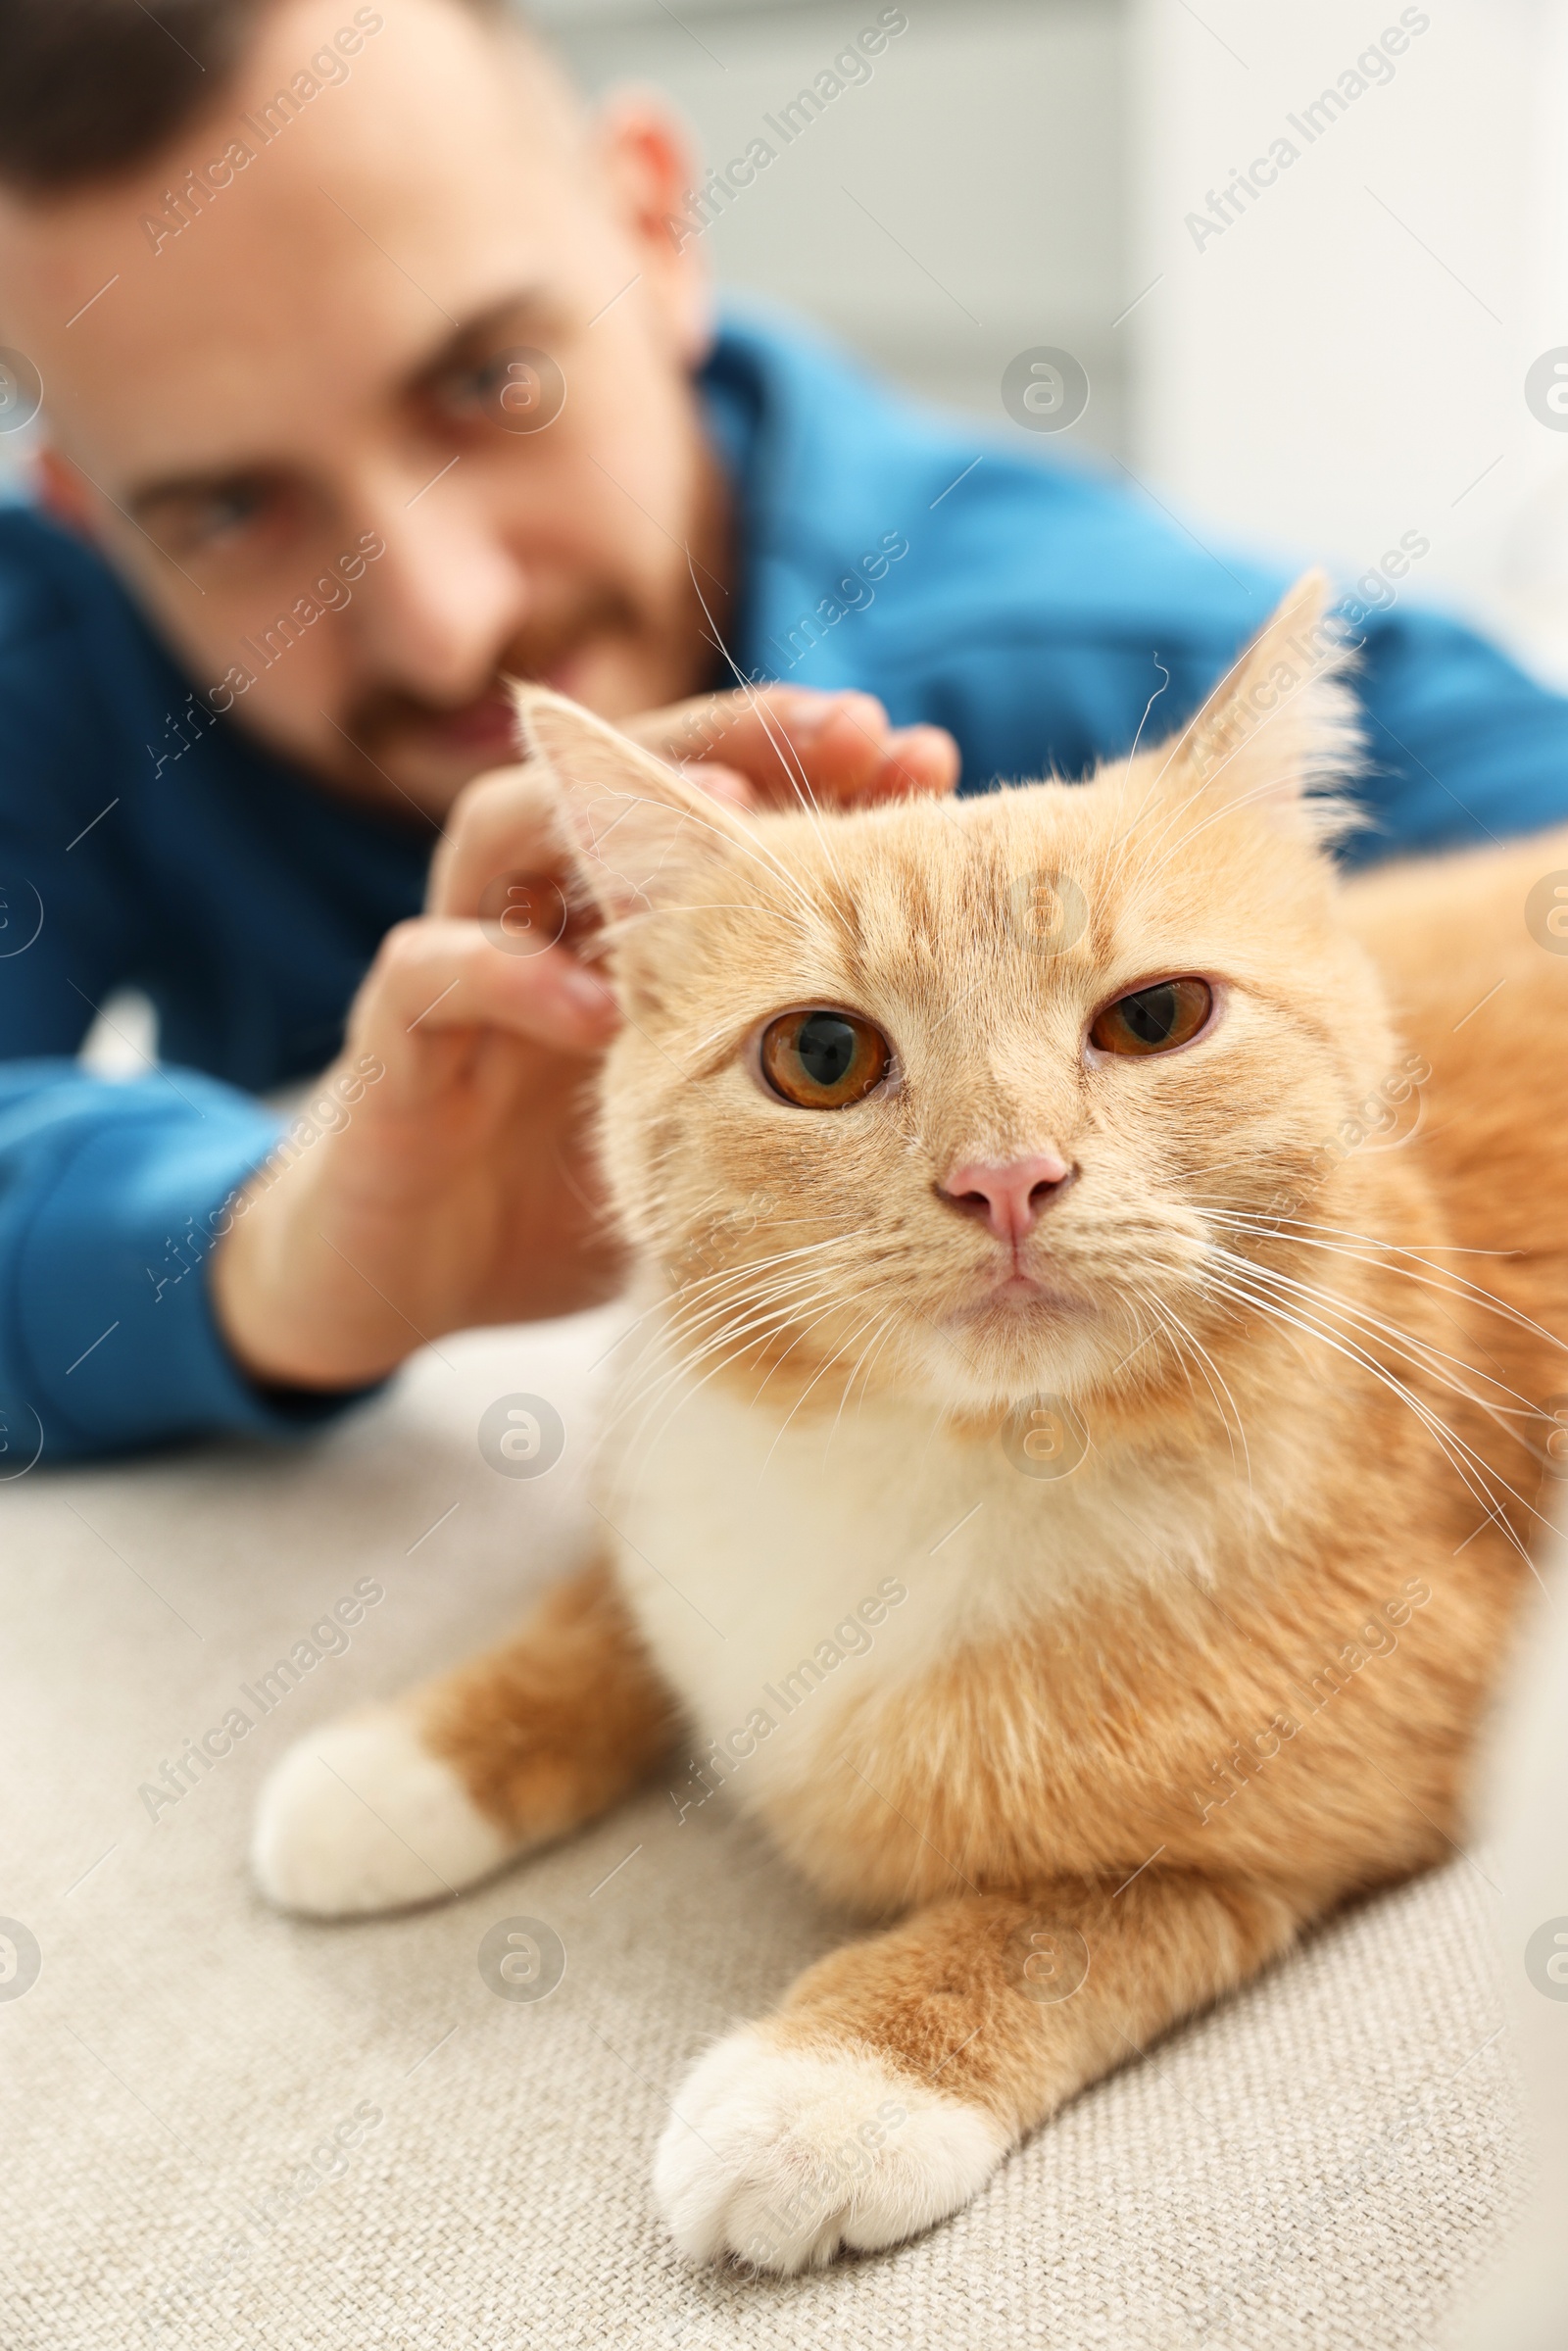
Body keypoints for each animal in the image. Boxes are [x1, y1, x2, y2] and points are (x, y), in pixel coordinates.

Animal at [251, 582, 1560, 2276]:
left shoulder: (1357, 1772)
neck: (946, 1464)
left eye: (1157, 1016)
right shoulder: (677, 1499)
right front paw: (410, 1760)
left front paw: (834, 2082)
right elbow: (602, 1618)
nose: (1005, 1175)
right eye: (823, 1055)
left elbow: (1060, 1913)